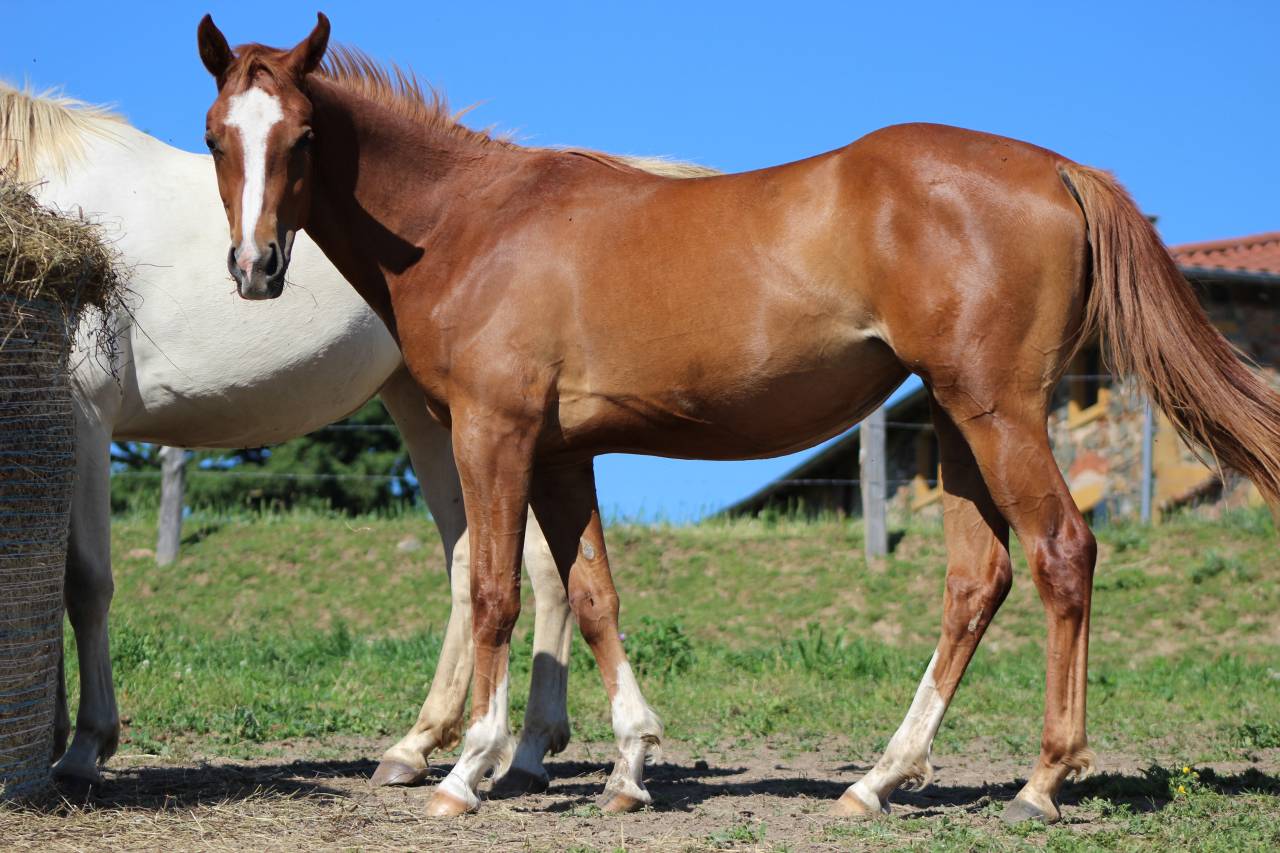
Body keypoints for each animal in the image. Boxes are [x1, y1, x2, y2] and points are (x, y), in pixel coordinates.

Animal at [1, 79, 711, 794]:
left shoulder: (86, 416)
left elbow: (84, 584)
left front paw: (85, 747)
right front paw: (53, 734)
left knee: (531, 572)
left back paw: (518, 749)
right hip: (433, 414)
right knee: (481, 563)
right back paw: (438, 747)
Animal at [196, 15, 1280, 823]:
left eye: (301, 137)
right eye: (215, 136)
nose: (253, 269)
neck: (469, 222)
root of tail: (1056, 168)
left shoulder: (492, 433)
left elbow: (496, 590)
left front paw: (467, 770)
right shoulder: (563, 452)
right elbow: (592, 593)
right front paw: (631, 766)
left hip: (997, 413)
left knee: (1062, 552)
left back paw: (1040, 781)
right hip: (955, 421)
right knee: (978, 580)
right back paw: (877, 780)